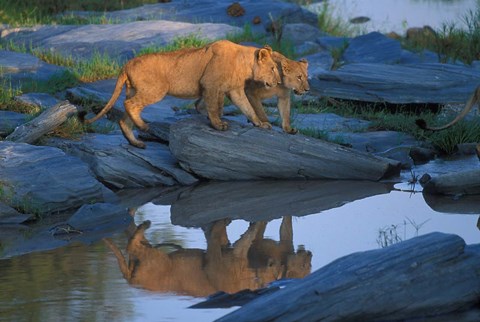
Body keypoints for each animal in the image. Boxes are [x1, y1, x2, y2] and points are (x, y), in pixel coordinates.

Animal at [80, 39, 280, 148]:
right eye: (272, 68)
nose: (278, 82)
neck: (245, 64)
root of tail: (126, 64)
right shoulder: (210, 84)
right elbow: (213, 107)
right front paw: (218, 125)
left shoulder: (234, 90)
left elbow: (247, 108)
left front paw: (260, 124)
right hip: (156, 89)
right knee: (129, 105)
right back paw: (144, 127)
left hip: (133, 90)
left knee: (124, 118)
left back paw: (136, 142)